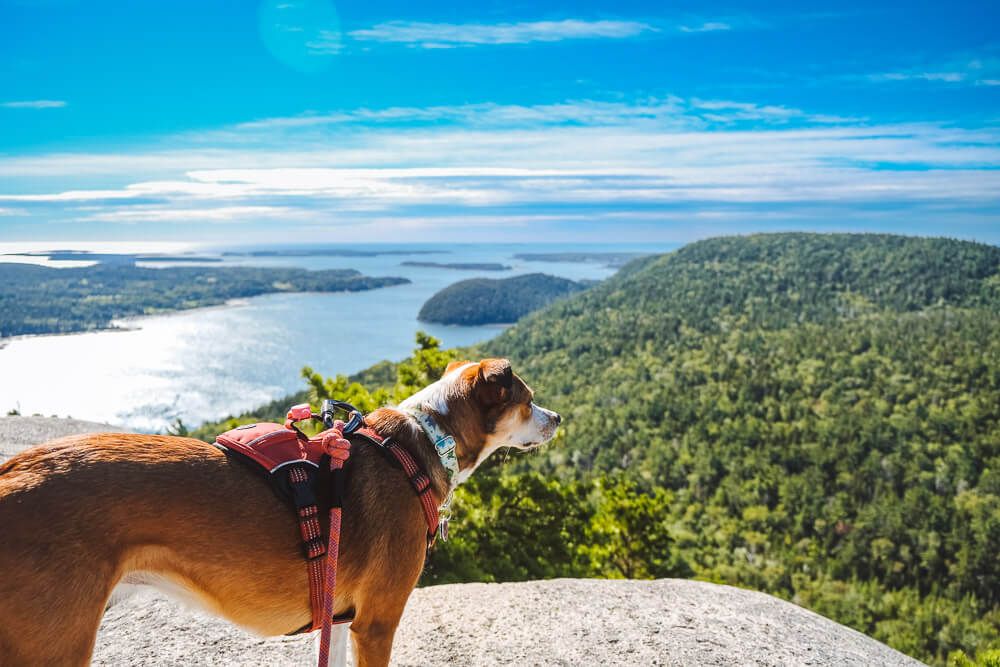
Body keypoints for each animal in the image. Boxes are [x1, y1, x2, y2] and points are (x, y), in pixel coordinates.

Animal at [0, 360, 560, 667]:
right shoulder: (377, 623)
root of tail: (14, 469)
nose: (557, 418)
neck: (426, 440)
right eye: (529, 400)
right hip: (53, 644)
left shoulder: (340, 618)